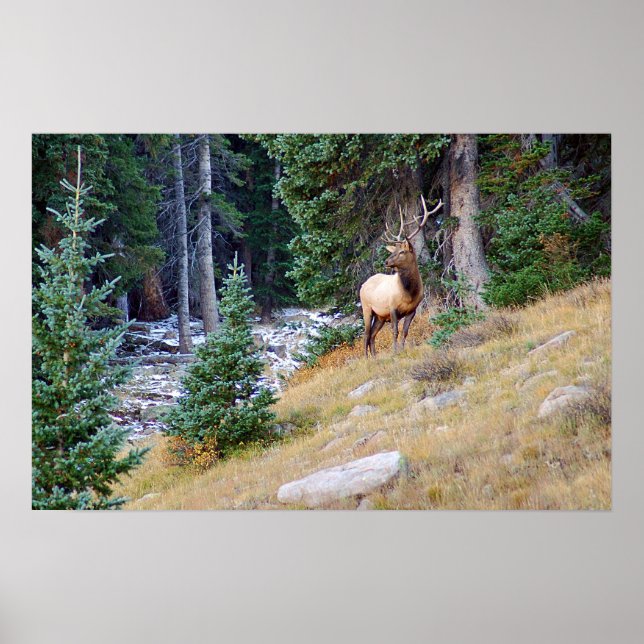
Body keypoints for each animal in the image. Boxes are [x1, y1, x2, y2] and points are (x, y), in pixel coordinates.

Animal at [360, 195, 442, 357]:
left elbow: (405, 331)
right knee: (366, 334)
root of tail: (363, 285)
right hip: (366, 308)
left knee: (372, 335)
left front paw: (402, 350)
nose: (386, 261)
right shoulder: (392, 308)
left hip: (380, 316)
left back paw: (374, 357)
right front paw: (395, 351)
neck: (409, 293)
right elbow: (395, 332)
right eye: (394, 251)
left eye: (402, 251)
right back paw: (366, 358)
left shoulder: (412, 310)